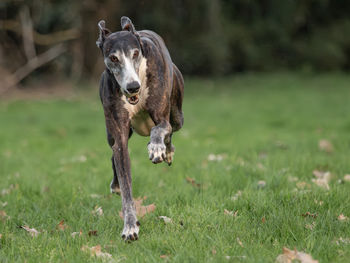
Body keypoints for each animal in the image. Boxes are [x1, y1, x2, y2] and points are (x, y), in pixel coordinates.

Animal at [95, 16, 183, 242]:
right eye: (113, 58)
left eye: (135, 53)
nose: (132, 87)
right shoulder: (119, 134)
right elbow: (126, 186)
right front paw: (130, 227)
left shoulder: (162, 117)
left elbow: (160, 129)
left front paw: (157, 149)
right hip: (111, 133)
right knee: (113, 151)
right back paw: (116, 184)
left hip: (177, 115)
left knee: (171, 130)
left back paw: (166, 151)